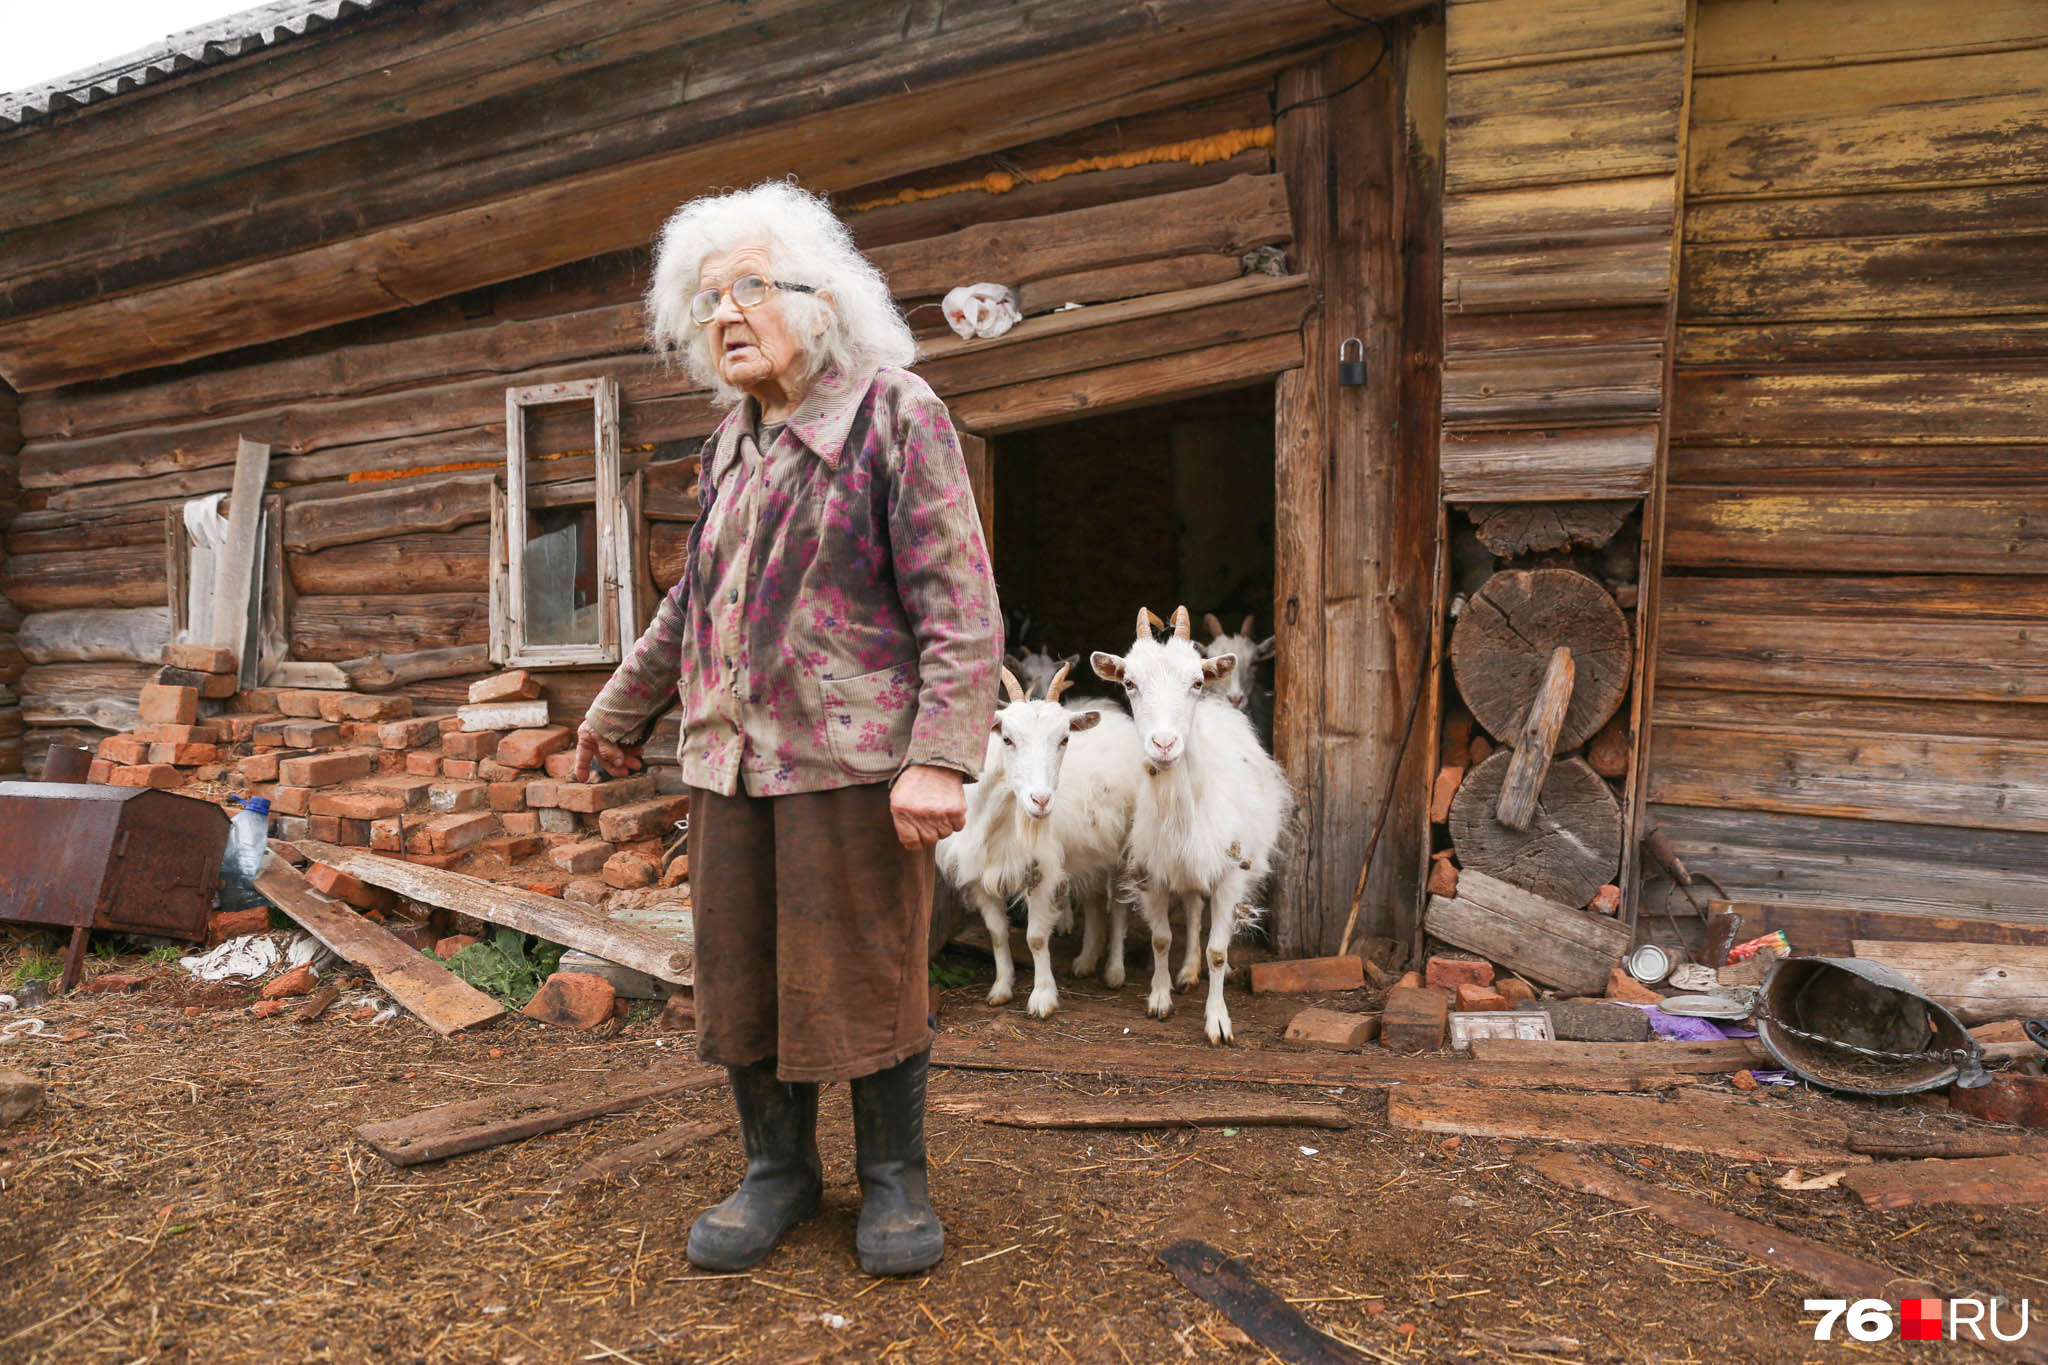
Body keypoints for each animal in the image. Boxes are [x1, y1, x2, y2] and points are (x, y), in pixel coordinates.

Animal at [937, 667, 1146, 1019]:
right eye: (1007, 738)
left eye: (1064, 739)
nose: (1041, 800)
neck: (1003, 816)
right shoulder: (979, 873)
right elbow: (997, 933)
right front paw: (1001, 988)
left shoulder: (1042, 872)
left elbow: (1035, 937)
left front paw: (1042, 998)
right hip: (1089, 851)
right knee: (1092, 899)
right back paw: (1086, 961)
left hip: (1121, 847)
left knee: (1118, 907)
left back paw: (1114, 971)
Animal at [1097, 609, 1286, 1047]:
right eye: (1129, 683)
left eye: (1197, 682)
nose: (1164, 744)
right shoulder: (1153, 872)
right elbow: (1161, 937)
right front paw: (1160, 998)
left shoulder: (1231, 872)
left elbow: (1217, 949)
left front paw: (1217, 1020)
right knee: (1193, 908)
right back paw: (1184, 972)